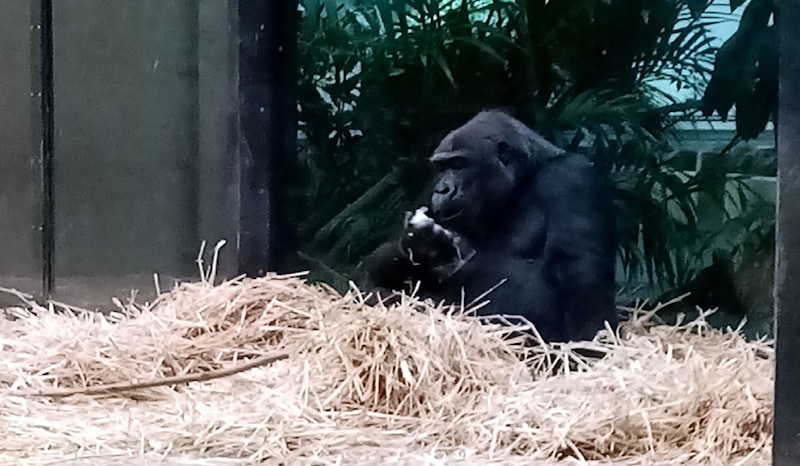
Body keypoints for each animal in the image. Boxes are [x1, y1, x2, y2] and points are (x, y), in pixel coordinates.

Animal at [362, 109, 620, 342]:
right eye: (442, 167)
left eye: (458, 164)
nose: (442, 189)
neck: (523, 179)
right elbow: (378, 266)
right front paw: (422, 246)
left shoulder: (572, 177)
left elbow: (580, 274)